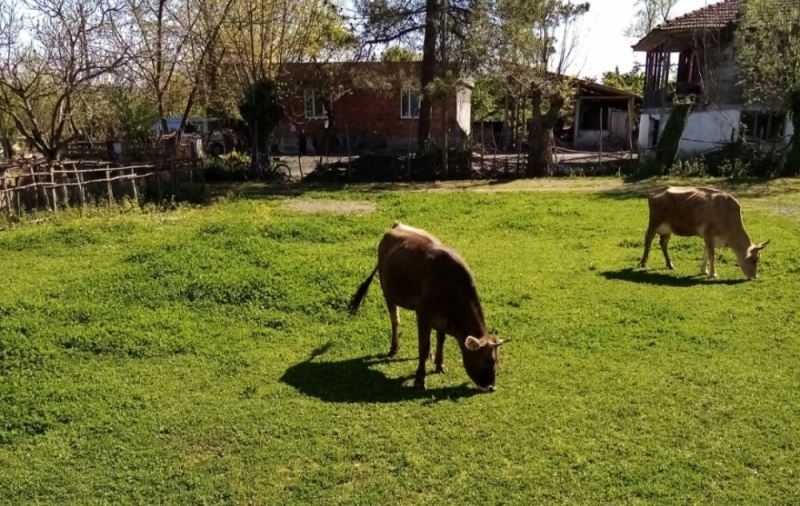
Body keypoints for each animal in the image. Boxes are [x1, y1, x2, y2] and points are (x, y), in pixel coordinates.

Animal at [346, 223, 504, 394]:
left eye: (497, 361)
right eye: (488, 361)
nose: (491, 387)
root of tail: (397, 225)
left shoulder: (442, 319)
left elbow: (440, 340)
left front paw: (439, 364)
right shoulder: (423, 315)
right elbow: (422, 347)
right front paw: (419, 380)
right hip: (388, 293)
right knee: (395, 321)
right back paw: (394, 349)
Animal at [636, 187, 768, 280]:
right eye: (754, 260)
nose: (754, 277)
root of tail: (654, 192)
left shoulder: (708, 238)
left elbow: (706, 253)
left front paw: (704, 271)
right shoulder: (709, 234)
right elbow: (711, 255)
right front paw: (713, 274)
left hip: (667, 229)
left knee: (663, 243)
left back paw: (670, 264)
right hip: (654, 223)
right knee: (648, 239)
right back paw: (643, 263)